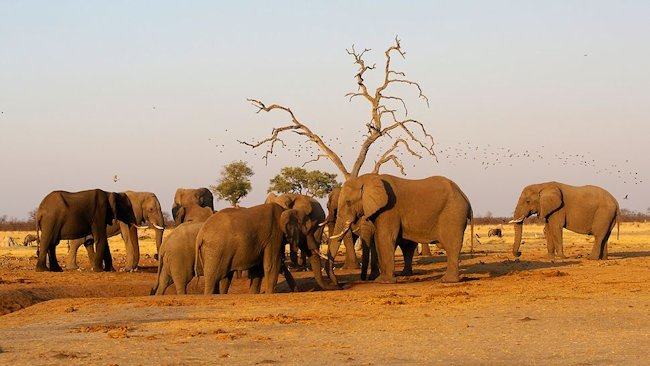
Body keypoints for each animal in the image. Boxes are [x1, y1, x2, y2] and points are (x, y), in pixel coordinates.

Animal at [194, 203, 336, 294]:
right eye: (309, 231)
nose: (337, 285)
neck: (285, 210)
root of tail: (200, 235)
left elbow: (259, 270)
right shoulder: (274, 235)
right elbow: (272, 265)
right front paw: (269, 293)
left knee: (225, 278)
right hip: (215, 251)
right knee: (213, 278)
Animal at [326, 174, 474, 284]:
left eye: (348, 202)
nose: (338, 283)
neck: (367, 178)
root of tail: (466, 197)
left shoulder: (390, 209)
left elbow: (385, 237)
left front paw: (383, 281)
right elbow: (379, 239)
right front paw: (381, 280)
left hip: (453, 213)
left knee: (451, 245)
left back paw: (447, 280)